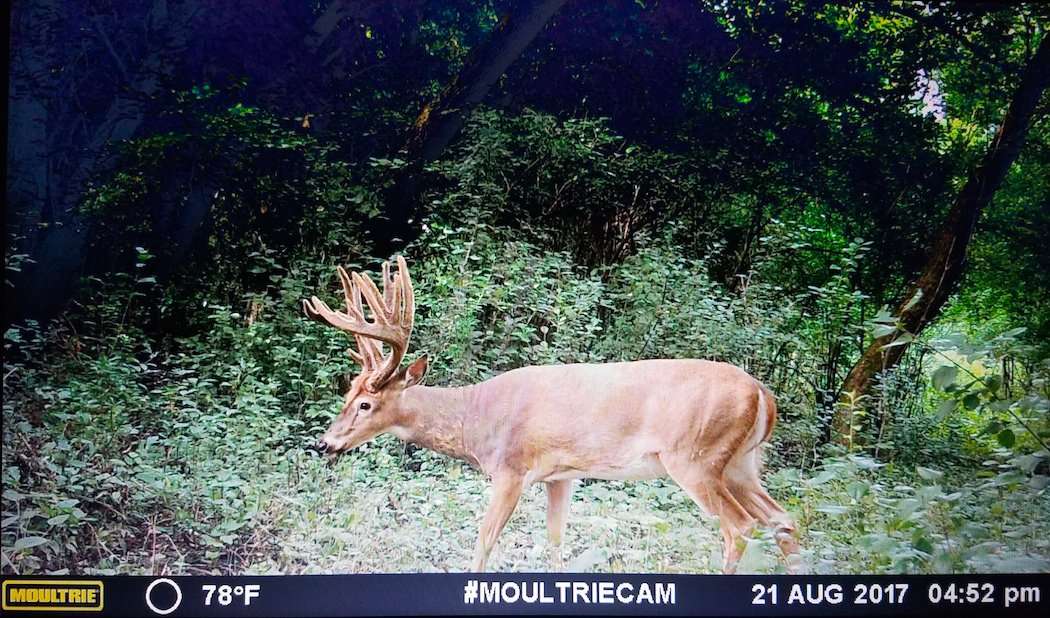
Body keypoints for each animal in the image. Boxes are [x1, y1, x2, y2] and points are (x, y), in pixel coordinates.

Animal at [304, 252, 802, 570]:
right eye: (347, 392)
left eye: (366, 403)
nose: (324, 443)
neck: (476, 419)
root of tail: (763, 394)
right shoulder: (562, 475)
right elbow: (556, 543)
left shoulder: (511, 469)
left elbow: (484, 544)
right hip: (741, 464)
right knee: (783, 520)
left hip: (696, 458)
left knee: (741, 529)